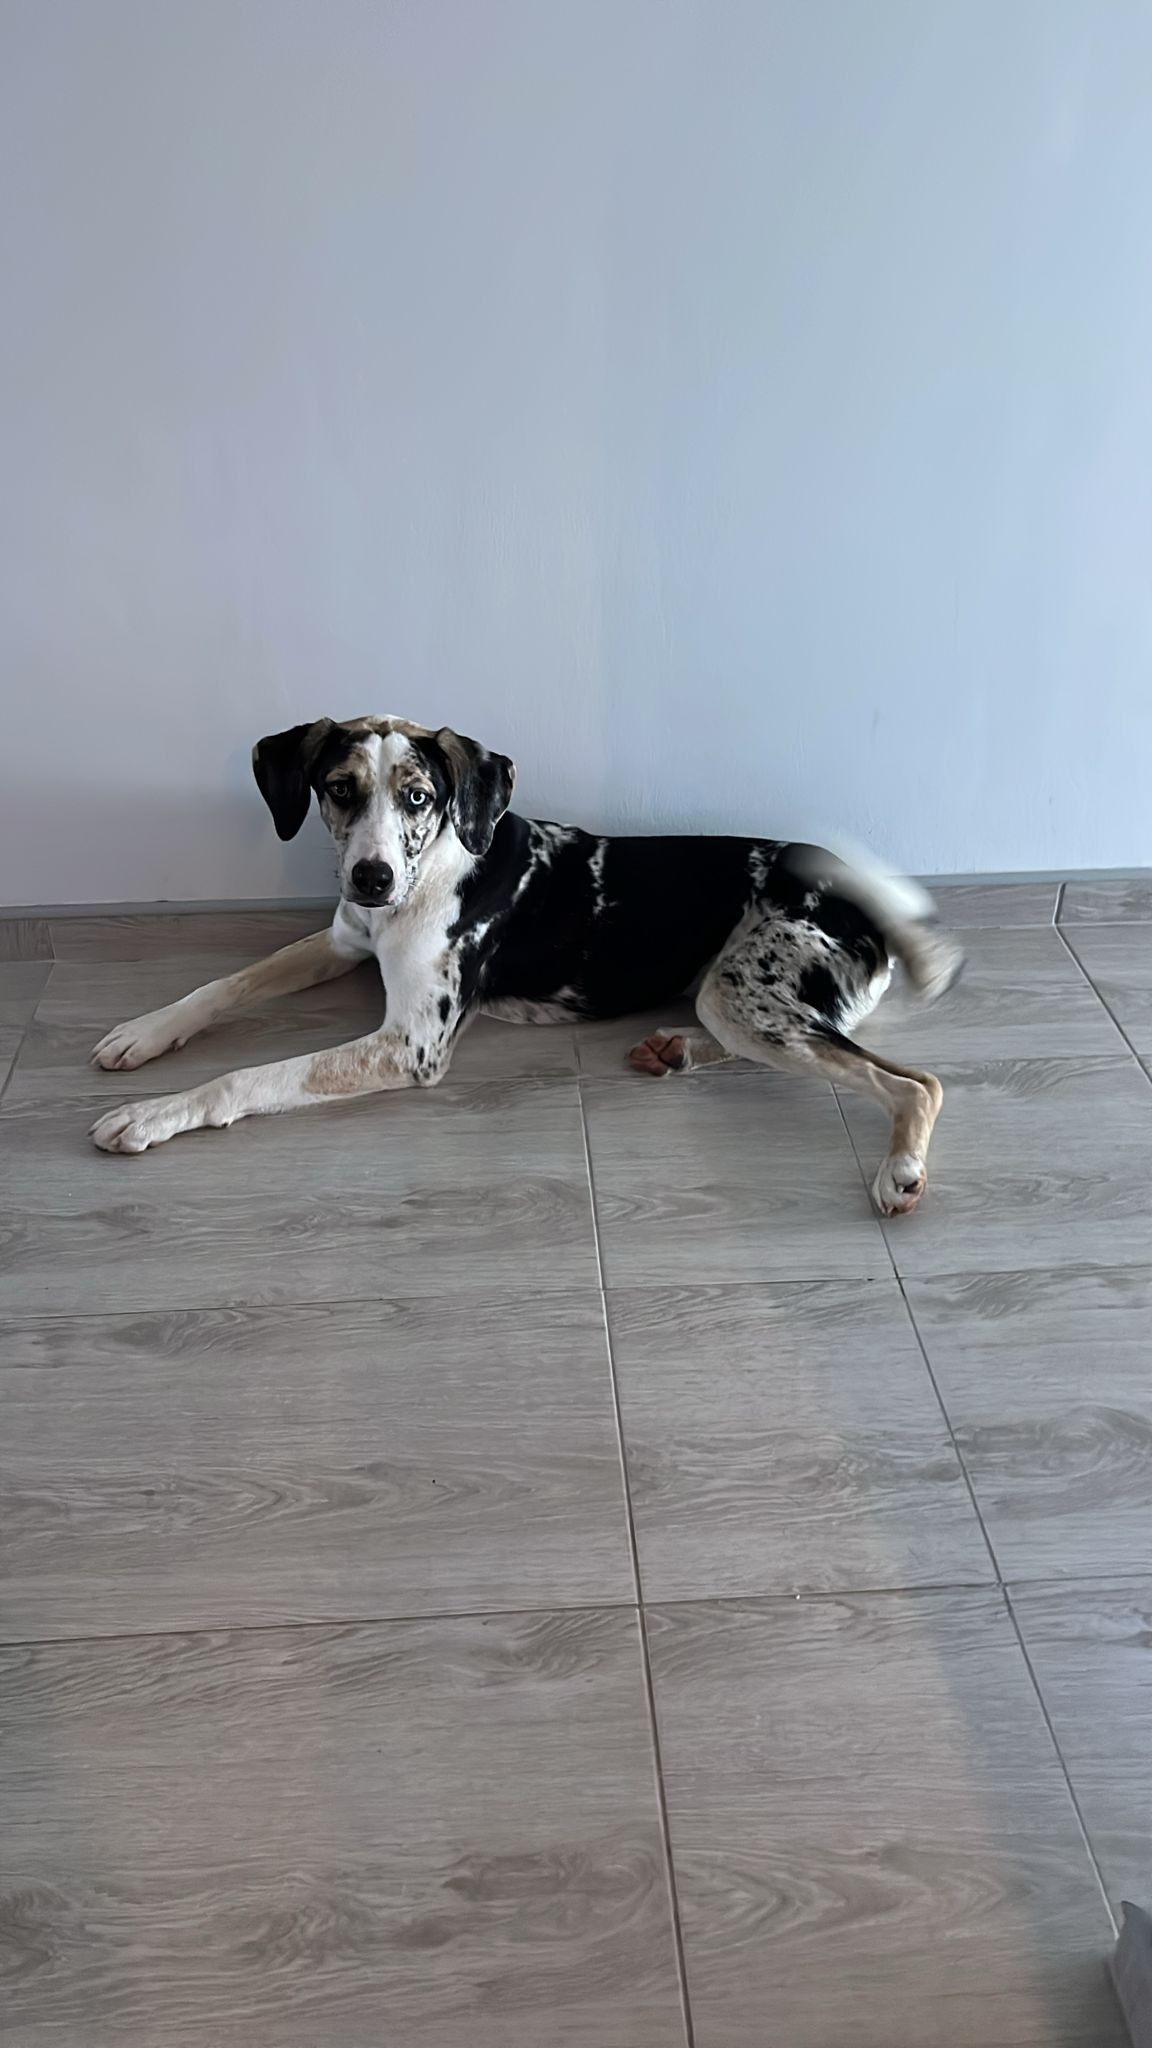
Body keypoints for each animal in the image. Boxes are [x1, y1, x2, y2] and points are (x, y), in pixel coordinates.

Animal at [89, 715, 963, 1213]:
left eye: (417, 796)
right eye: (337, 789)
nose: (371, 877)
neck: (427, 873)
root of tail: (858, 895)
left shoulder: (411, 1046)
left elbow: (249, 1077)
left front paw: (153, 1113)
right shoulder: (341, 941)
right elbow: (222, 984)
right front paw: (143, 1033)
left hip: (748, 993)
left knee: (914, 1081)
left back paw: (899, 1170)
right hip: (735, 995)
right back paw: (673, 1048)